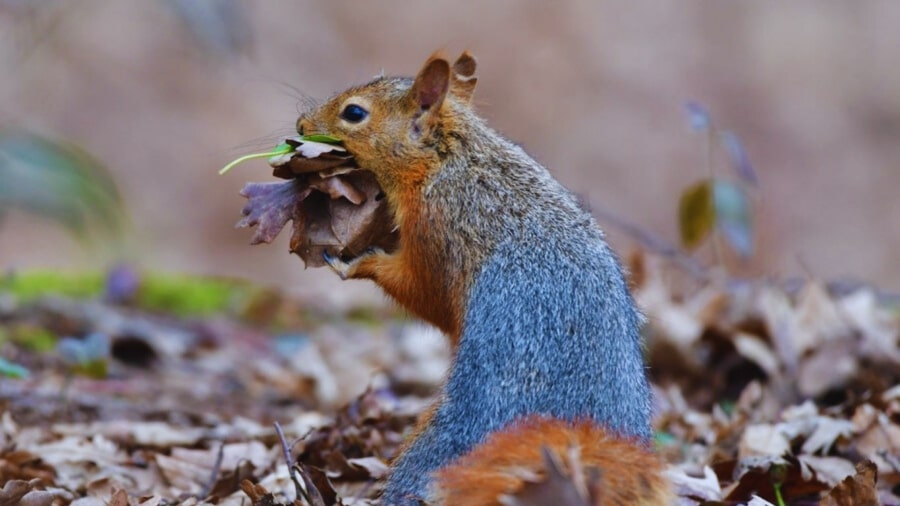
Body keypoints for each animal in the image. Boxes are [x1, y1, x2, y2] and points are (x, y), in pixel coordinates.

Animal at [294, 52, 668, 506]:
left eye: (353, 113)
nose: (300, 125)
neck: (448, 160)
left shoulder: (438, 231)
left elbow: (425, 294)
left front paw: (357, 261)